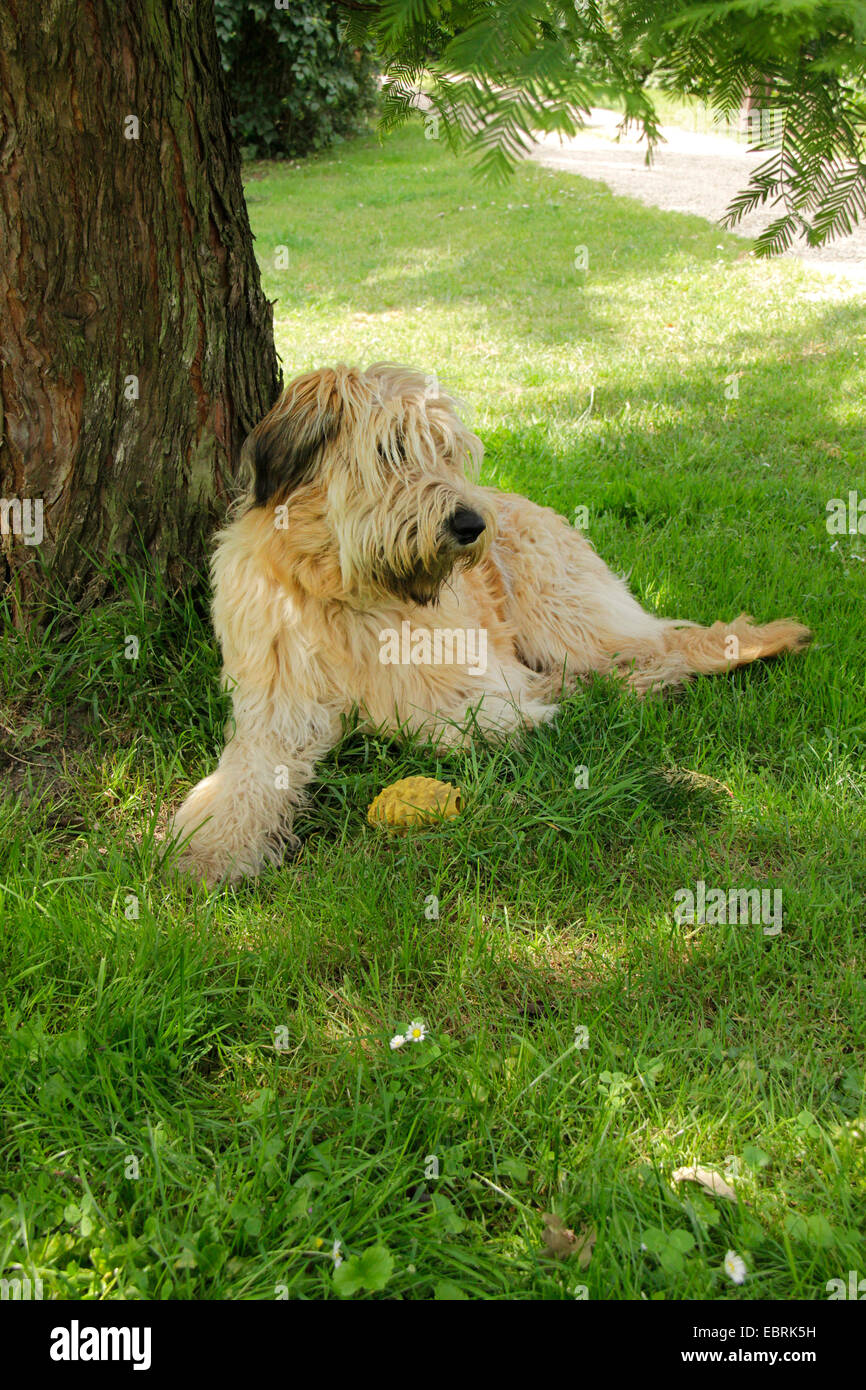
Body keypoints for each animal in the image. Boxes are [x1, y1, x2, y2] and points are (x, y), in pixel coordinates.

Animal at [170, 358, 811, 878]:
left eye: (449, 452)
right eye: (391, 449)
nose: (470, 524)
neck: (348, 594)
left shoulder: (478, 685)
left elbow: (453, 721)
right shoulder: (275, 709)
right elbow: (249, 772)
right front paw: (211, 846)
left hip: (561, 609)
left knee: (659, 651)